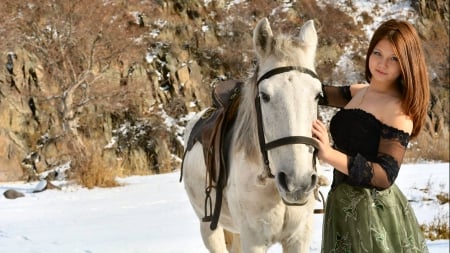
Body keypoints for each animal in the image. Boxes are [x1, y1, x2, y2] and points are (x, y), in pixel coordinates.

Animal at [183, 18, 324, 253]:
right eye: (264, 96)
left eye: (317, 95)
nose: (298, 183)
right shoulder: (253, 240)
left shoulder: (298, 237)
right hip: (209, 227)